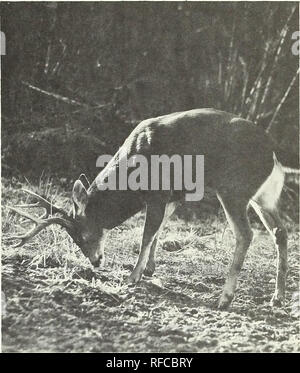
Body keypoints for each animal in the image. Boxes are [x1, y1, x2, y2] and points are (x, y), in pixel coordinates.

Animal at [8, 107, 298, 308]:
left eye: (83, 235)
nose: (96, 261)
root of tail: (273, 153)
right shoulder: (173, 196)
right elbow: (158, 231)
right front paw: (149, 269)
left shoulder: (157, 193)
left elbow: (147, 233)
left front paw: (132, 277)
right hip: (263, 197)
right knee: (280, 232)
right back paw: (277, 297)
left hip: (233, 189)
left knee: (246, 234)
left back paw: (225, 299)